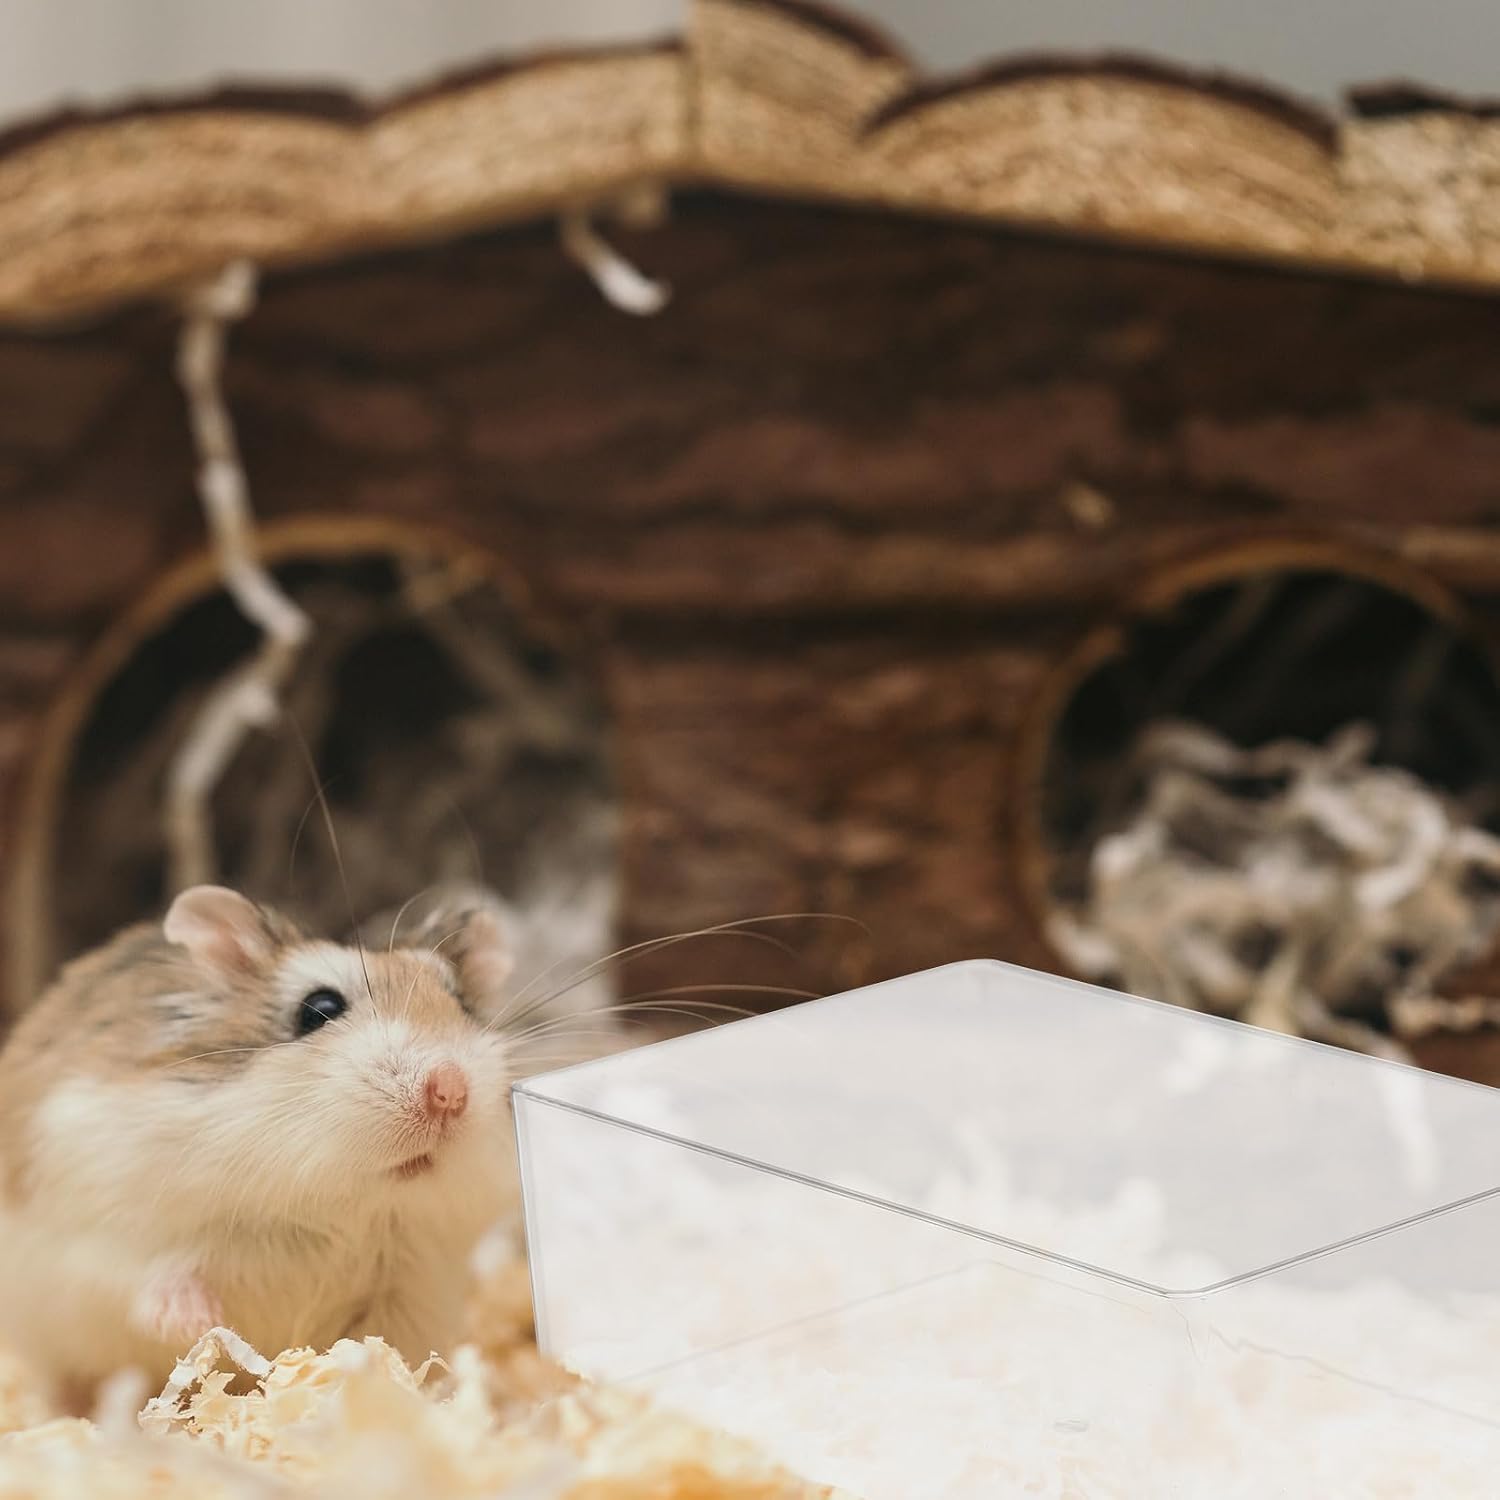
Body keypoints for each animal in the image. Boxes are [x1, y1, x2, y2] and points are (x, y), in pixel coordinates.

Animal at [0, 884, 532, 1410]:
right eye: (319, 1008)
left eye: (462, 1004)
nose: (450, 1092)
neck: (341, 1204)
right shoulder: (104, 1228)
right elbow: (151, 1277)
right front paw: (204, 1325)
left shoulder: (410, 1290)